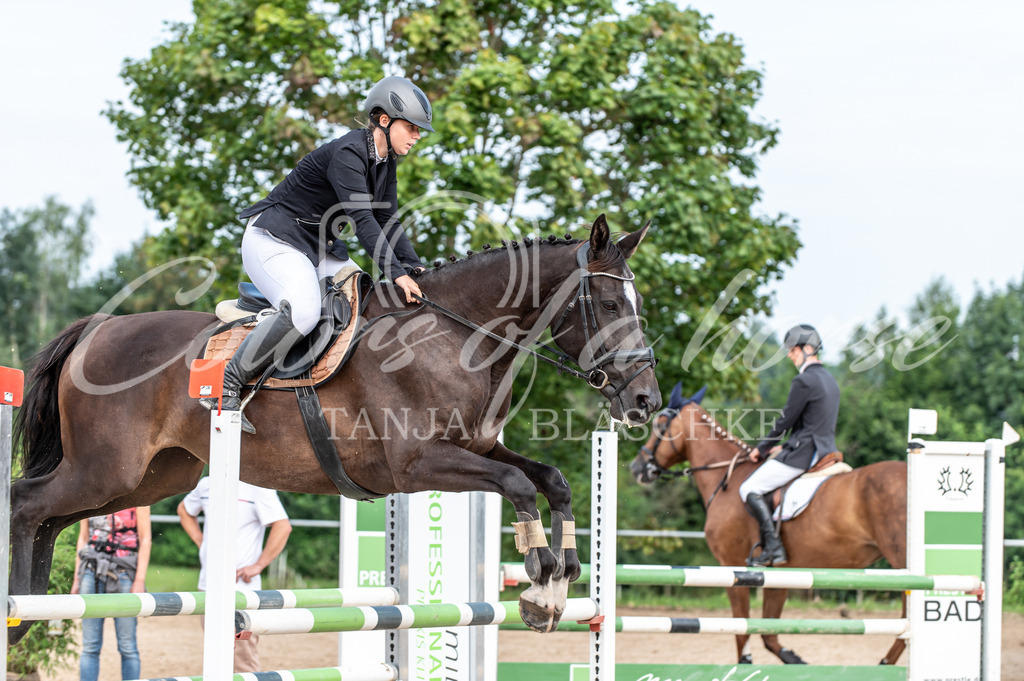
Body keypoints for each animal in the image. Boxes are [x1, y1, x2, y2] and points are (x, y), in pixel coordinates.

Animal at [9, 214, 655, 643]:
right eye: (608, 304)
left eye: (638, 305)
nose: (645, 400)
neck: (454, 336)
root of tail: (95, 332)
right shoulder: (419, 464)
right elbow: (520, 486)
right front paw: (542, 579)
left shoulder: (478, 448)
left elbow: (552, 479)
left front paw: (556, 590)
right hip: (105, 469)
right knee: (25, 502)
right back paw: (16, 613)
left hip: (150, 477)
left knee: (49, 518)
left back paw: (29, 613)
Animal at [622, 382, 905, 663]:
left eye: (660, 425)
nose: (637, 467)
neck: (727, 477)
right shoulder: (782, 573)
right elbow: (769, 634)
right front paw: (796, 660)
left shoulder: (732, 565)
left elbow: (742, 629)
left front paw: (747, 662)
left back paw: (886, 662)